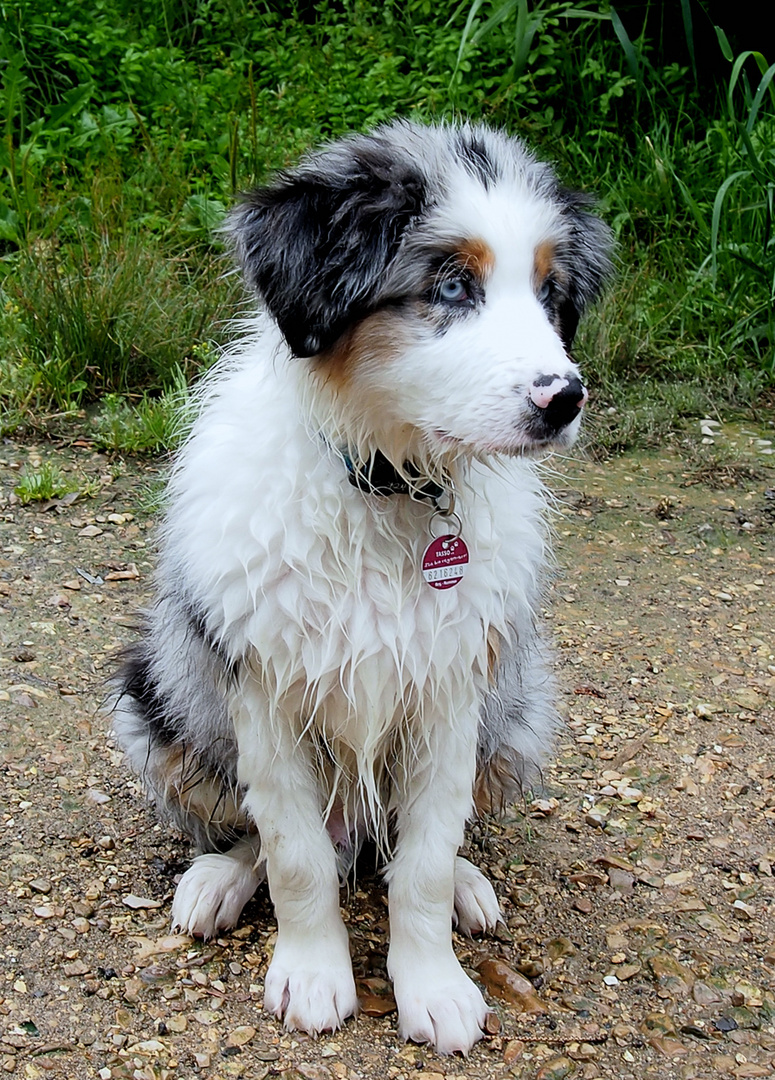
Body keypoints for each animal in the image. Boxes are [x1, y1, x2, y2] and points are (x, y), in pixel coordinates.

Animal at [113, 120, 613, 1054]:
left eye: (548, 291)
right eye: (450, 283)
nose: (563, 399)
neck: (390, 483)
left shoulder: (452, 687)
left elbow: (420, 864)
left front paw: (435, 988)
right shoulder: (264, 688)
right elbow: (295, 854)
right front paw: (312, 976)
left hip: (520, 711)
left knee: (410, 844)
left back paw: (468, 885)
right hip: (155, 703)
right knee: (266, 836)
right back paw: (217, 881)